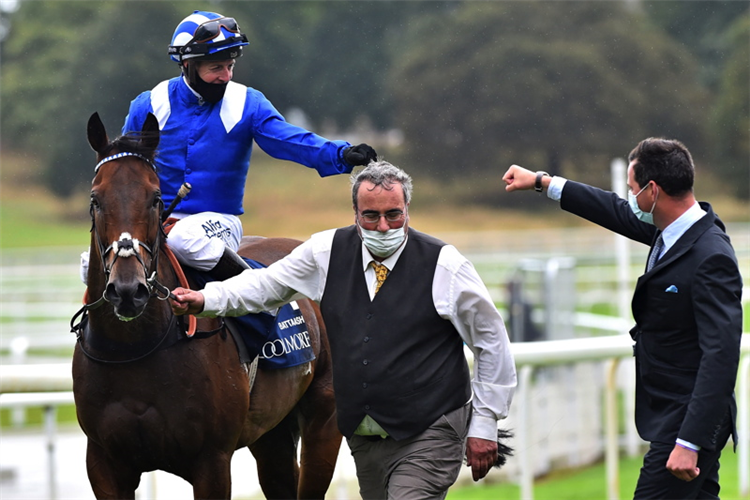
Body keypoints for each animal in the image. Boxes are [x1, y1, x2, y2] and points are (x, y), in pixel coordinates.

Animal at [72, 113, 342, 500]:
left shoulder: (211, 460)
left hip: (325, 417)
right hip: (271, 433)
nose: (127, 290)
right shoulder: (104, 463)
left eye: (155, 198)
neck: (133, 348)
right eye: (96, 199)